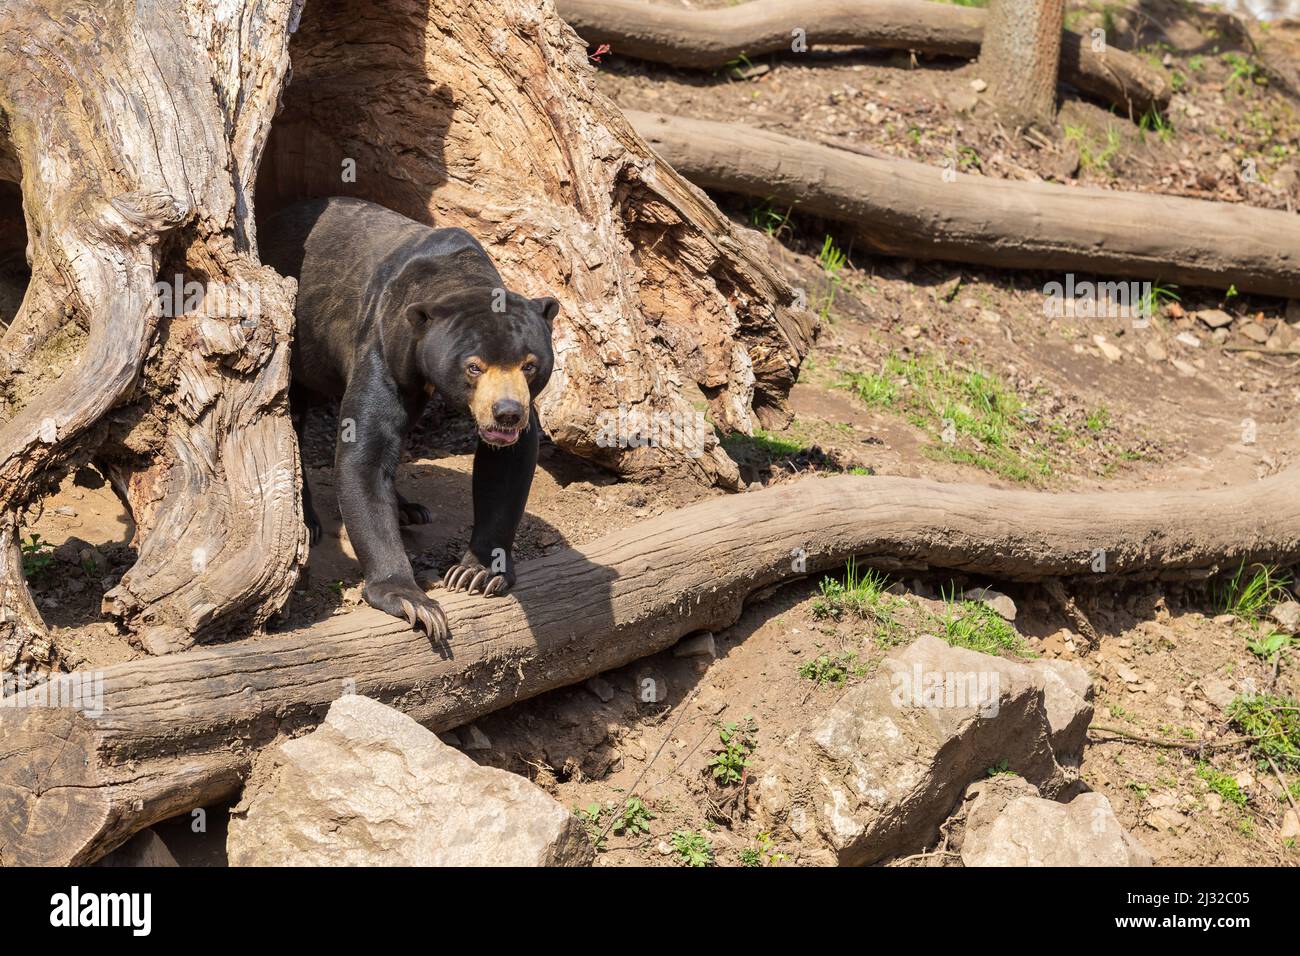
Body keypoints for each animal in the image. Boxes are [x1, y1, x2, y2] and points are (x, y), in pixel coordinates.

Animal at [259, 197, 558, 640]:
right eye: (473, 366)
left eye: (529, 364)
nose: (507, 414)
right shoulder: (384, 347)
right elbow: (364, 458)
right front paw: (413, 601)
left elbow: (509, 463)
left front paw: (478, 574)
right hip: (298, 342)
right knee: (292, 416)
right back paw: (310, 524)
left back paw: (409, 509)